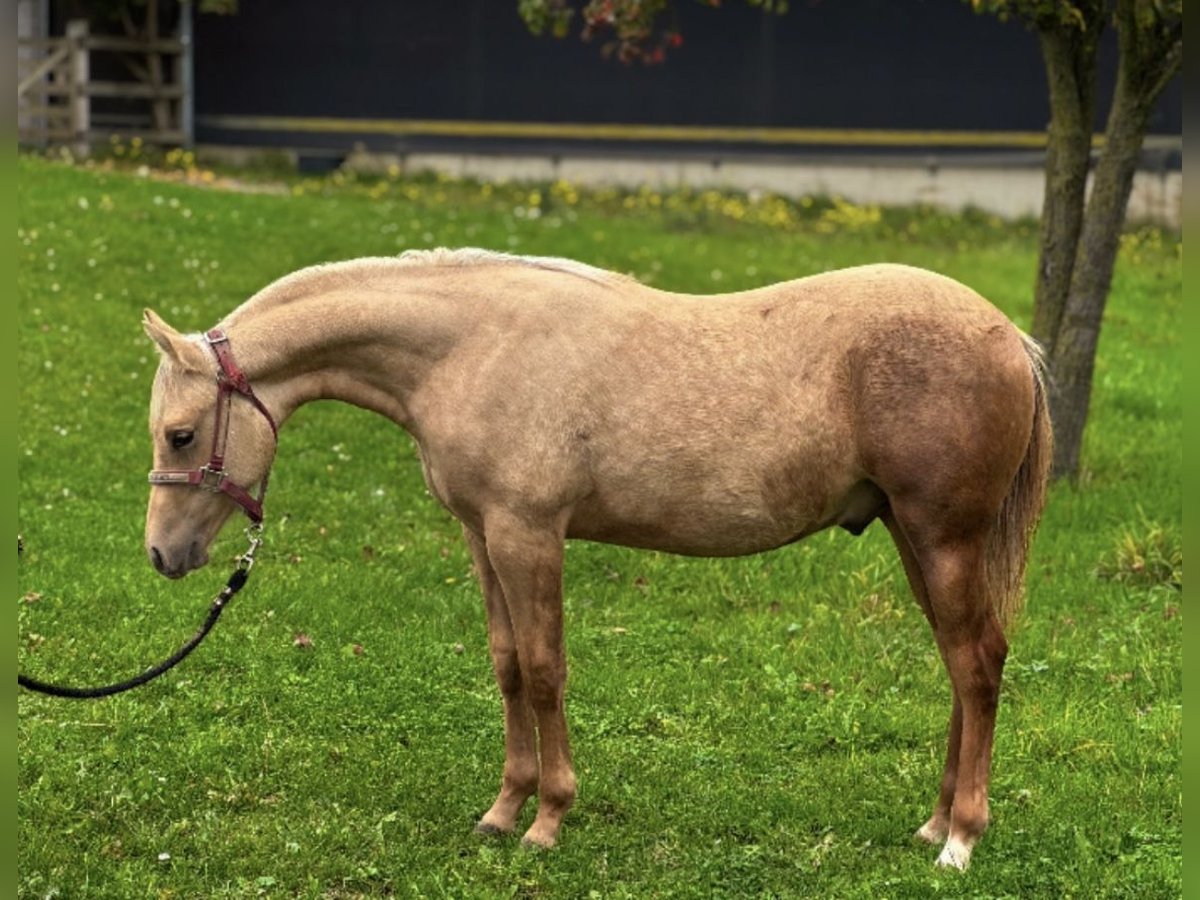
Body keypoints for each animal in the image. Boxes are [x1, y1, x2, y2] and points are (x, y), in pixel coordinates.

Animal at [142, 248, 1051, 870]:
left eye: (180, 434)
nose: (162, 554)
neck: (471, 347)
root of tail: (1011, 337)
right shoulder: (483, 538)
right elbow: (508, 665)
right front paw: (503, 811)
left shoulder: (529, 536)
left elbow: (546, 670)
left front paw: (549, 820)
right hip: (912, 536)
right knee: (960, 668)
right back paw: (935, 823)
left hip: (943, 538)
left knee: (976, 667)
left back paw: (961, 840)